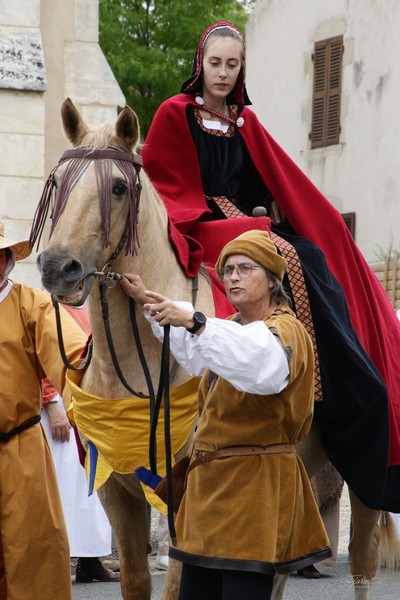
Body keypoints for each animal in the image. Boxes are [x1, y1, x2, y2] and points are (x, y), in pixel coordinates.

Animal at [32, 99, 398, 600]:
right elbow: (136, 581)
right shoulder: (117, 493)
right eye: (56, 183)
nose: (57, 268)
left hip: (366, 471)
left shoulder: (185, 498)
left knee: (362, 562)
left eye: (119, 187)